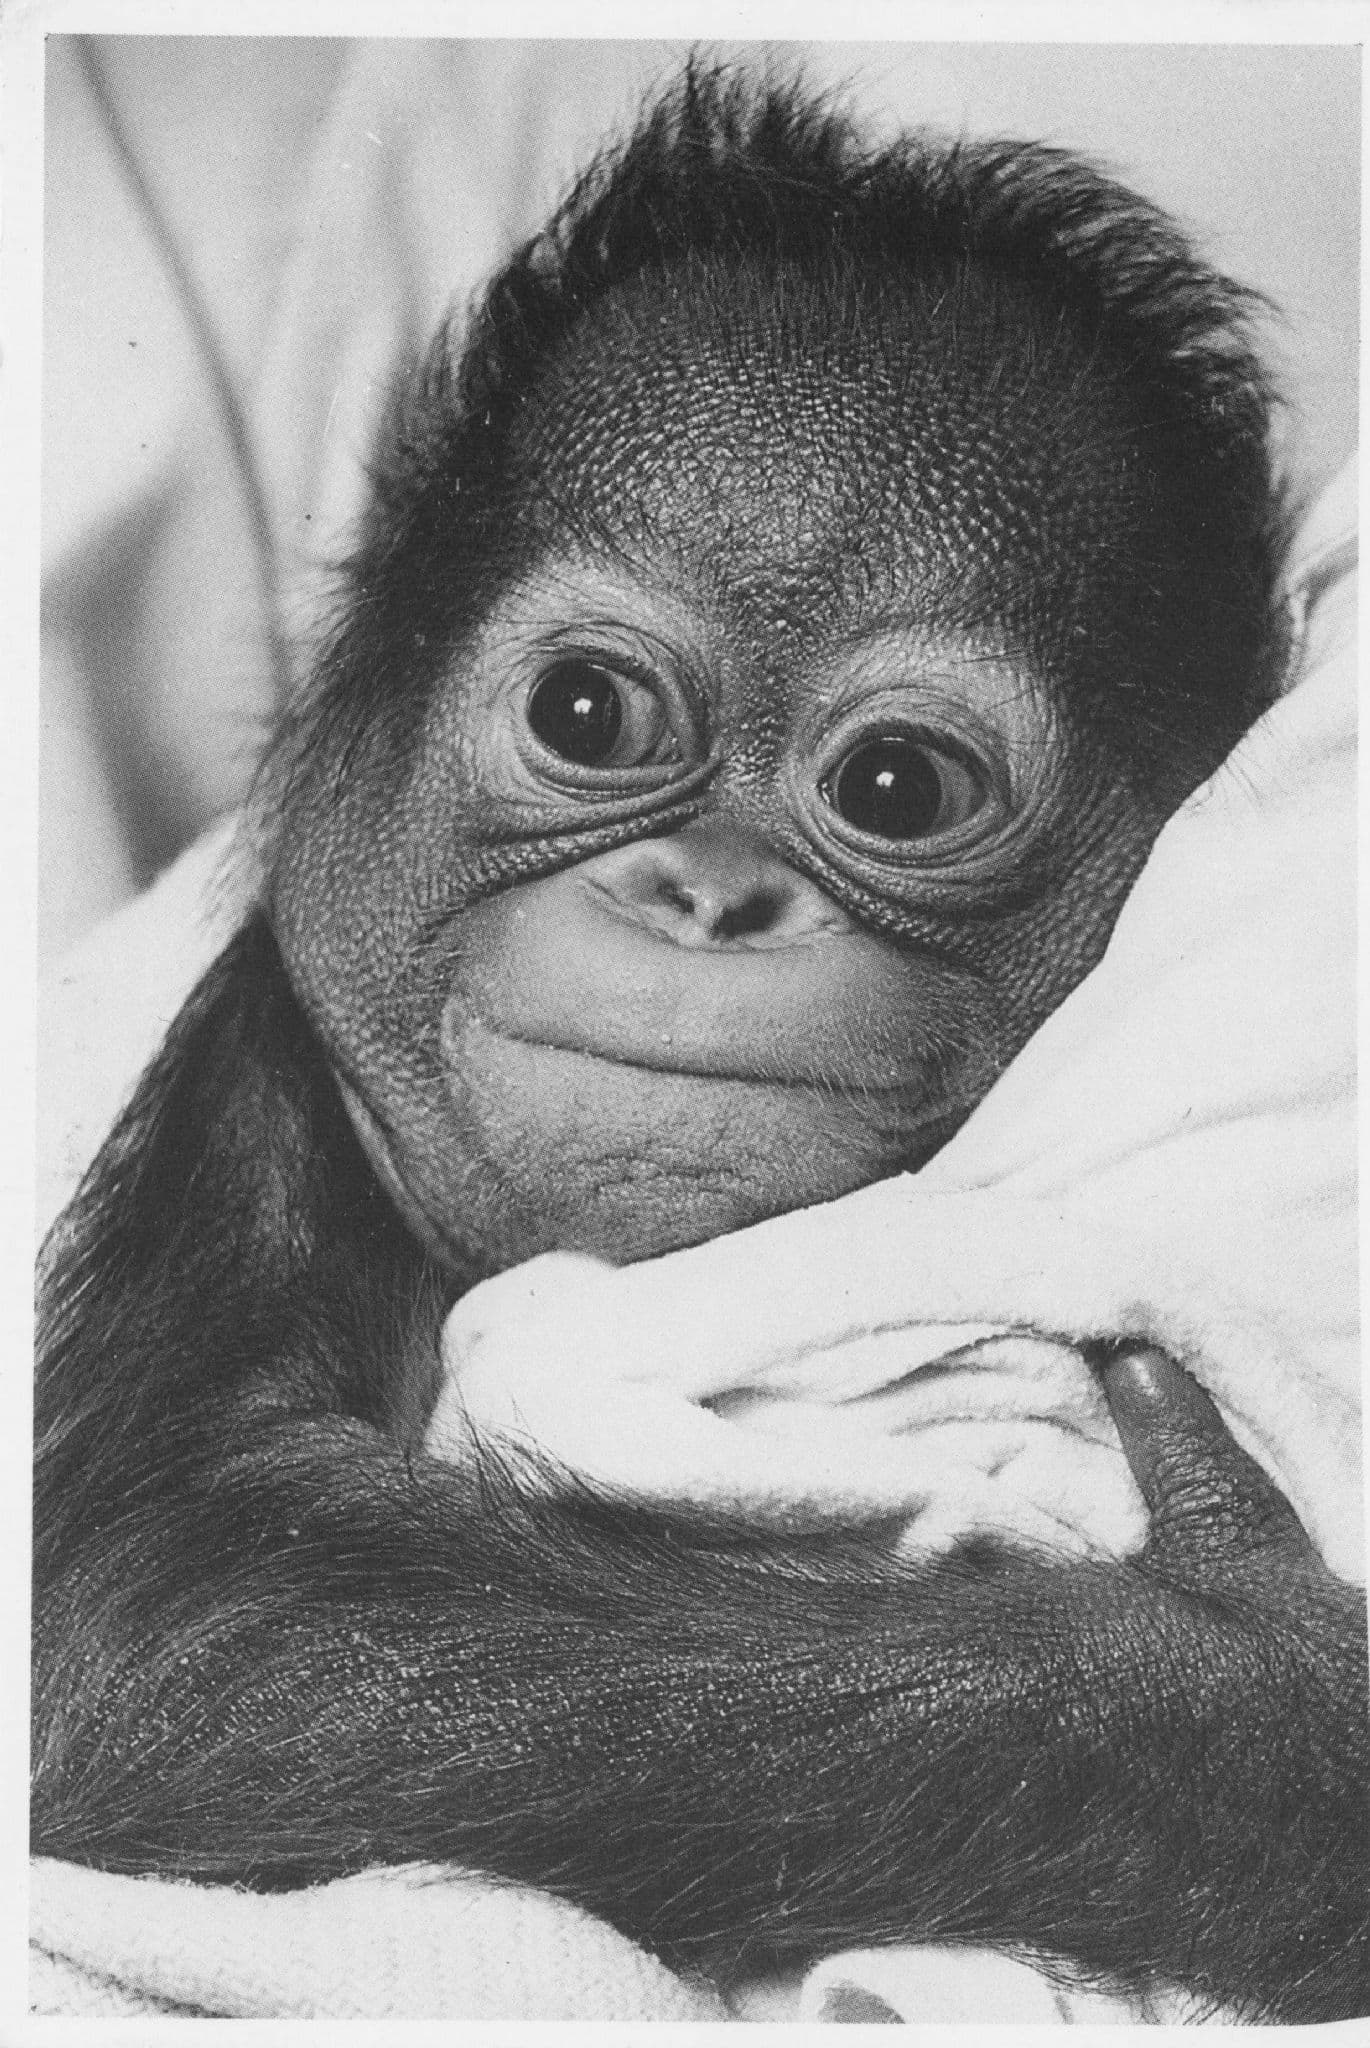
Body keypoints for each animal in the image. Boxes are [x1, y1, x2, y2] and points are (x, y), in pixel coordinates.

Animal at [32, 66, 1368, 2023]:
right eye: (589, 714)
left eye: (894, 790)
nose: (711, 894)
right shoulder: (266, 1048)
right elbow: (159, 1601)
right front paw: (1269, 1703)